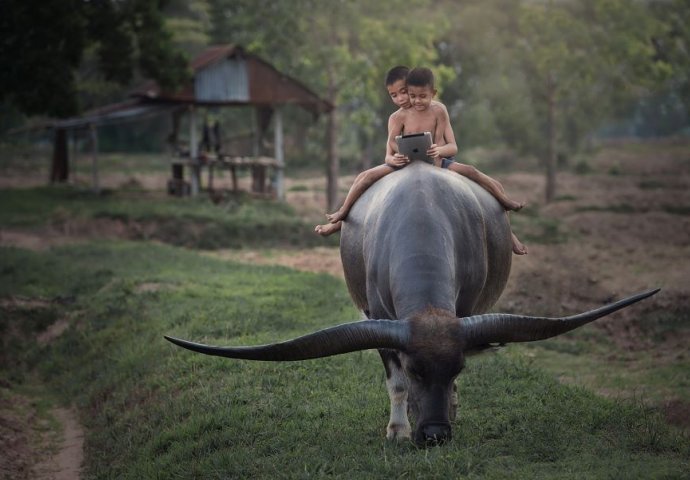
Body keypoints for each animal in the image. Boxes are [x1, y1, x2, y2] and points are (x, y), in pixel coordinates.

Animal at [165, 162, 656, 446]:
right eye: (417, 369)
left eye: (457, 368)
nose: (435, 435)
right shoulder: (381, 321)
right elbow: (394, 383)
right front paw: (398, 430)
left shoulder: (463, 313)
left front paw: (451, 407)